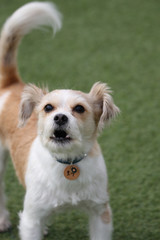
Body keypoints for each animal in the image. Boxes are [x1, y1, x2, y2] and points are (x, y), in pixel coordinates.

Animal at [0, 2, 119, 240]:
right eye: (48, 107)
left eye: (79, 108)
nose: (60, 117)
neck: (67, 163)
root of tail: (10, 84)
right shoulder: (30, 218)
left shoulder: (100, 212)